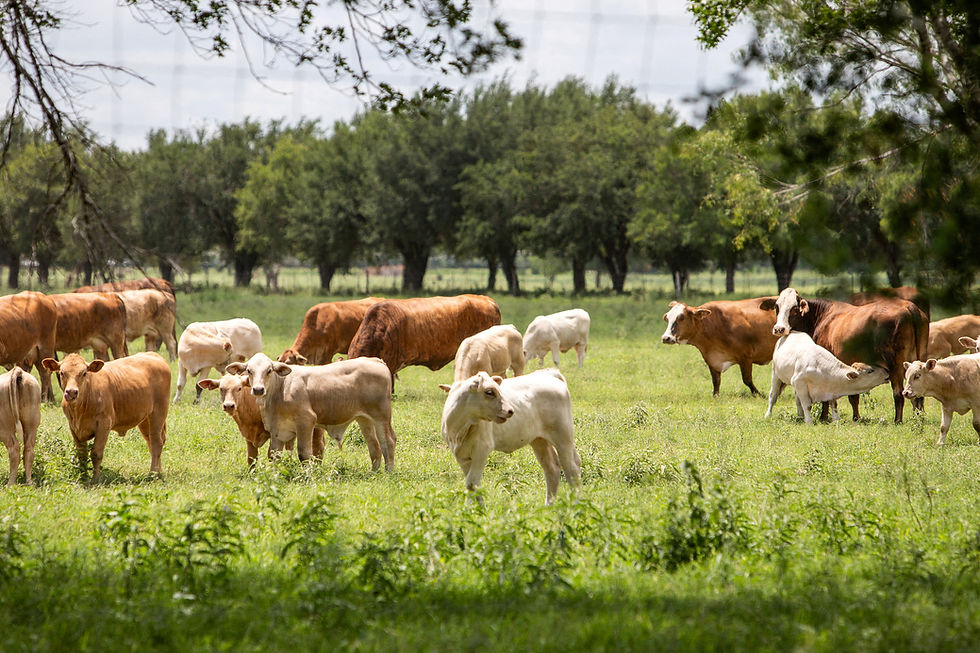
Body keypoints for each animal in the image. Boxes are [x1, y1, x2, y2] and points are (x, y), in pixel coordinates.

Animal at [42, 352, 170, 482]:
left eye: (84, 373)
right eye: (62, 372)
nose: (72, 392)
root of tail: (153, 355)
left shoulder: (104, 423)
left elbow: (96, 453)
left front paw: (95, 479)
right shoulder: (73, 427)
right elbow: (82, 454)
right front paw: (83, 478)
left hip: (159, 412)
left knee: (156, 442)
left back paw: (153, 474)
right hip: (144, 419)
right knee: (150, 442)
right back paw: (158, 472)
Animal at [226, 353, 397, 471]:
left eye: (269, 370)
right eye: (249, 370)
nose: (258, 389)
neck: (281, 389)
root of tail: (374, 360)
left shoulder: (306, 421)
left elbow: (304, 454)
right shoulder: (276, 429)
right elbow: (274, 455)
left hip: (381, 416)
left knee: (388, 441)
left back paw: (388, 472)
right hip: (364, 418)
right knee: (374, 445)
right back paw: (374, 472)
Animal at [438, 369, 581, 505]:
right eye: (489, 392)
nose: (510, 411)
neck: (459, 428)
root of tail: (549, 374)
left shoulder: (482, 449)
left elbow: (472, 482)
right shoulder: (461, 454)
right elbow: (471, 485)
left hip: (563, 437)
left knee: (571, 469)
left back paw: (575, 503)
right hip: (539, 440)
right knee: (552, 469)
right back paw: (549, 504)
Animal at [762, 287, 929, 422]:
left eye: (794, 308)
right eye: (777, 307)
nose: (779, 328)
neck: (822, 317)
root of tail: (909, 307)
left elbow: (835, 398)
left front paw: (825, 417)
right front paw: (855, 418)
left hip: (895, 365)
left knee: (898, 394)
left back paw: (897, 420)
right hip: (916, 364)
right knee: (918, 395)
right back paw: (918, 419)